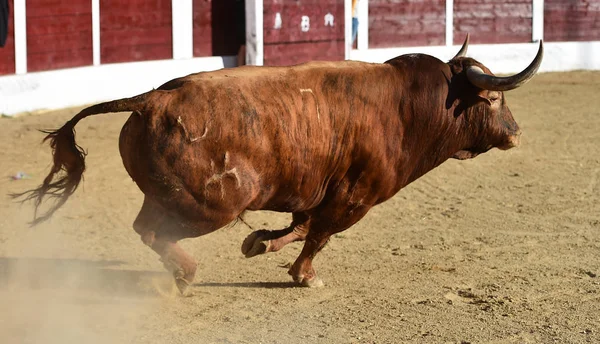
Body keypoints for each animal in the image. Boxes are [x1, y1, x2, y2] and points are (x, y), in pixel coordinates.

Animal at [18, 35, 544, 292]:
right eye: (495, 98)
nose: (517, 133)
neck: (409, 107)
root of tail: (151, 99)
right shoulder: (356, 198)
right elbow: (319, 234)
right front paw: (303, 276)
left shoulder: (321, 189)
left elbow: (300, 224)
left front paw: (259, 243)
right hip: (209, 206)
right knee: (151, 230)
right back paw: (187, 273)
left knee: (149, 228)